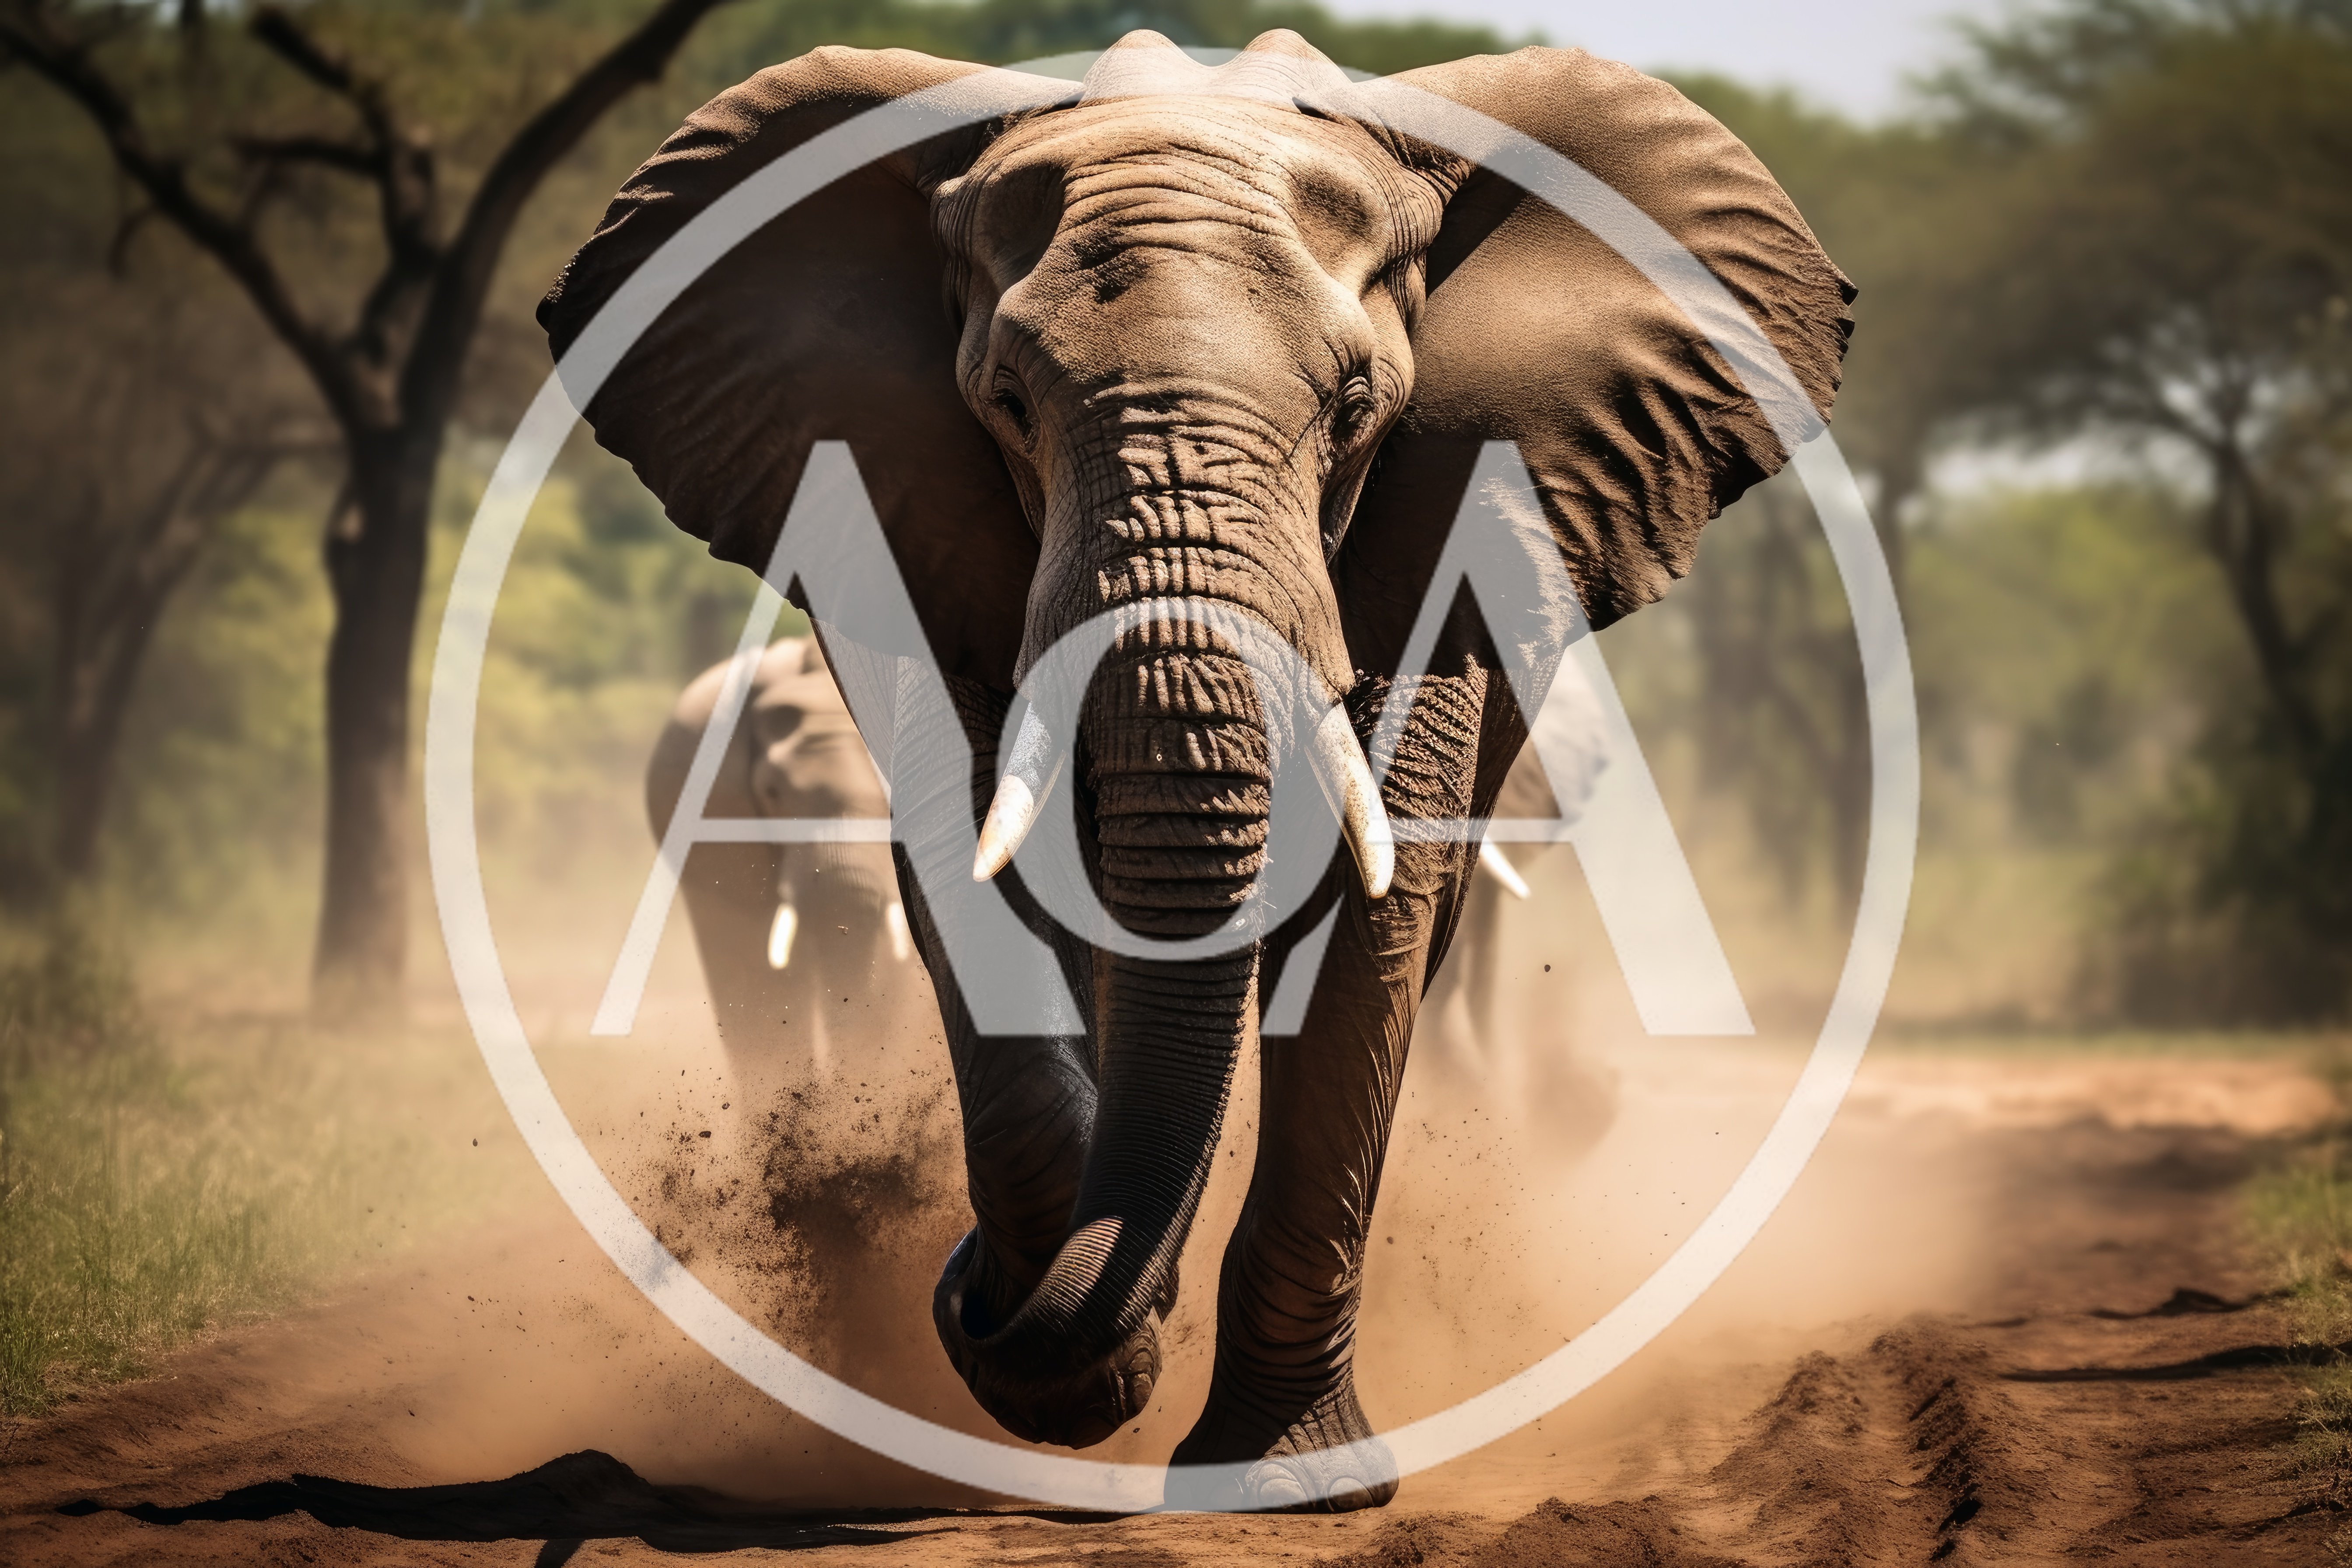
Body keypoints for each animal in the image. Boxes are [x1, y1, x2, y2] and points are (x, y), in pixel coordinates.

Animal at [542, 31, 1850, 1510]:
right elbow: (970, 859)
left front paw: (1284, 1484)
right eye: (1006, 405)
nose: (965, 1297)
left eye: (1357, 409)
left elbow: (1368, 914)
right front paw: (1074, 1373)